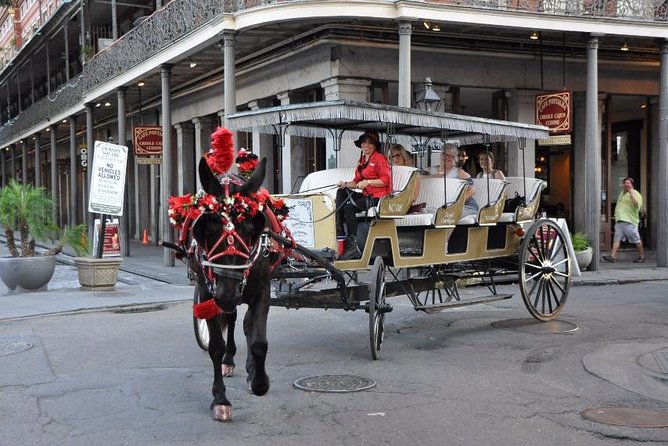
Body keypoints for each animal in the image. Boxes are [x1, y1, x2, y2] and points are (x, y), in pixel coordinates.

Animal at [189, 156, 272, 422]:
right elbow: (216, 346)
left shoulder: (262, 290)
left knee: (245, 323)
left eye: (252, 229)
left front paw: (259, 381)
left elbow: (258, 342)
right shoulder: (208, 293)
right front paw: (220, 400)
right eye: (207, 227)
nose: (226, 295)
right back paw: (229, 360)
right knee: (234, 319)